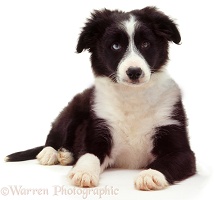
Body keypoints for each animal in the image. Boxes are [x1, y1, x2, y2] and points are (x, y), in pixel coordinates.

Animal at [5, 6, 197, 191]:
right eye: (116, 46)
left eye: (145, 44)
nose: (134, 72)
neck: (132, 96)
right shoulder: (99, 129)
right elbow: (88, 155)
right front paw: (83, 172)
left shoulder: (181, 148)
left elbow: (166, 162)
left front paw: (150, 175)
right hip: (75, 107)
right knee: (55, 134)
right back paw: (50, 153)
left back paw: (66, 155)